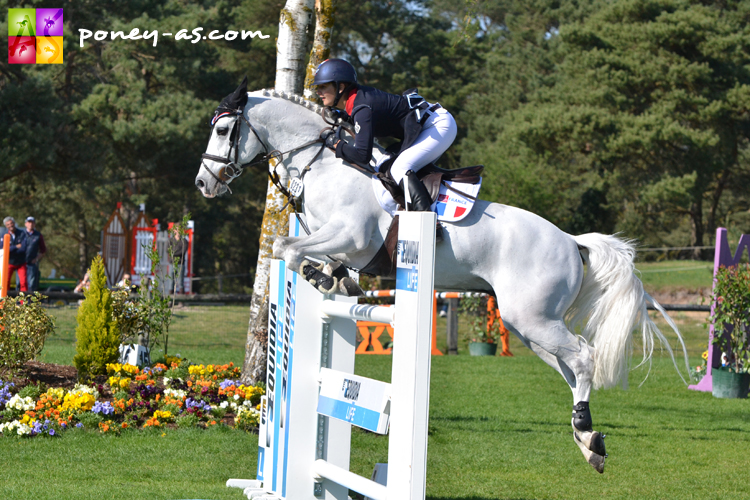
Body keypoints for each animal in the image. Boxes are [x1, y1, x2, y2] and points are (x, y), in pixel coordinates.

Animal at [197, 85, 692, 472]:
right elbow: (304, 252)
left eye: (223, 131)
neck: (322, 162)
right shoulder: (337, 241)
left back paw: (587, 431)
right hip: (530, 326)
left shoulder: (351, 235)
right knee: (570, 369)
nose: (204, 184)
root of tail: (571, 240)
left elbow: (288, 249)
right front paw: (335, 279)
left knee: (585, 357)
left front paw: (318, 277)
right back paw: (588, 441)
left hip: (533, 319)